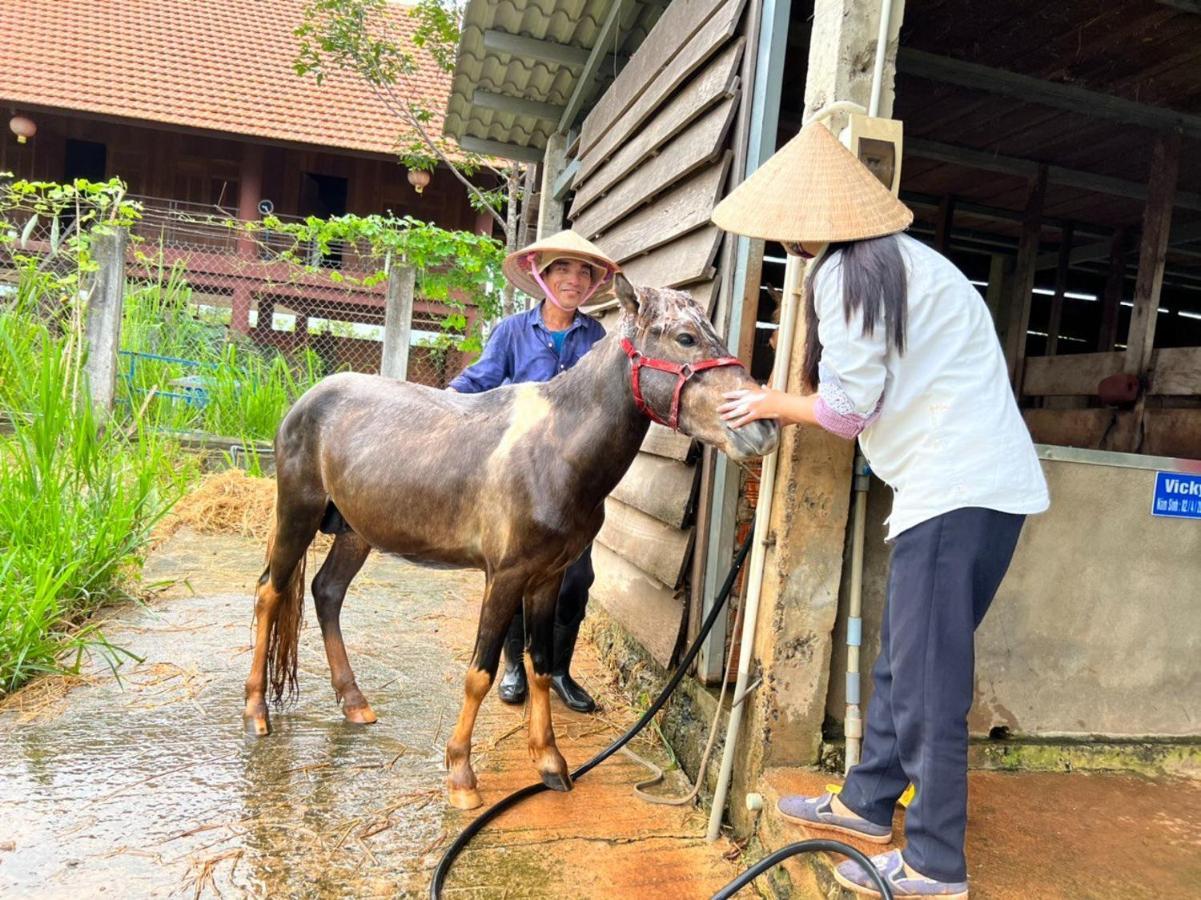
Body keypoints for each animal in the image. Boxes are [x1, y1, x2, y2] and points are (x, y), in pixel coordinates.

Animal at [243, 273, 778, 807]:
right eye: (686, 338)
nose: (765, 426)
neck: (556, 449)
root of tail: (306, 400)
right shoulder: (504, 577)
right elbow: (480, 672)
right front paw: (461, 774)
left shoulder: (547, 578)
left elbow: (541, 664)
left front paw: (550, 762)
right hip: (297, 514)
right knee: (270, 593)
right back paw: (256, 712)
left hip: (355, 533)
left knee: (327, 592)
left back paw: (354, 702)